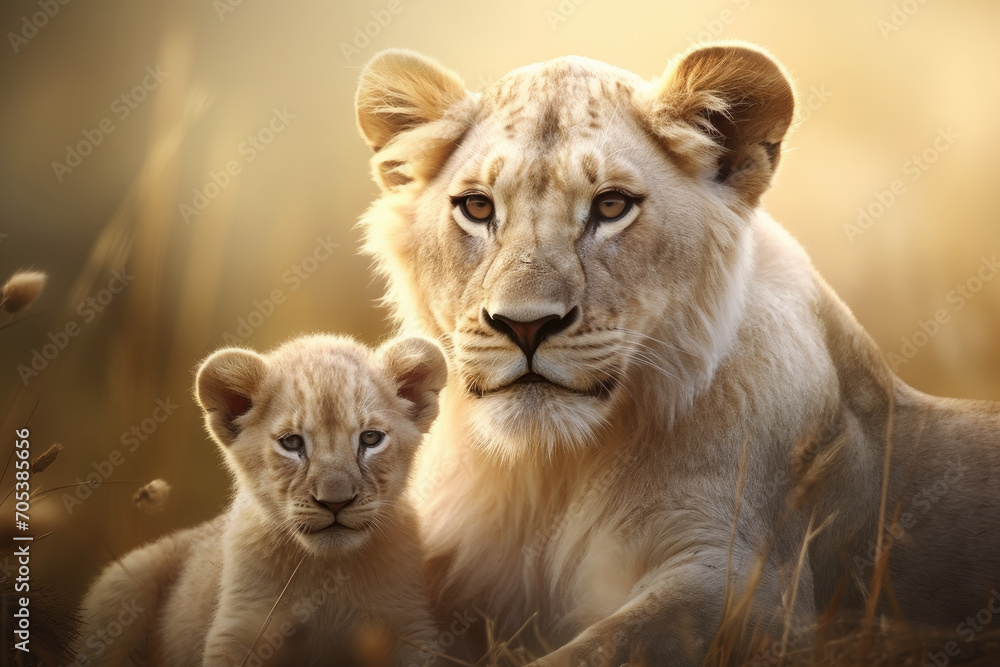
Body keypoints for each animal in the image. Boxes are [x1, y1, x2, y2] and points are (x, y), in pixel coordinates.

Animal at [354, 43, 1000, 665]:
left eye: (611, 207)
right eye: (478, 208)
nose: (525, 324)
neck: (550, 473)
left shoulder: (751, 589)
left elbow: (602, 647)